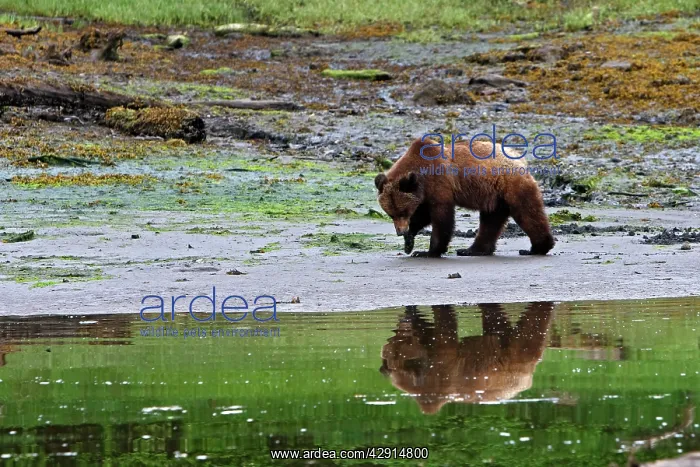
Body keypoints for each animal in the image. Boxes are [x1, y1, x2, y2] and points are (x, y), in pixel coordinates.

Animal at [374, 137, 555, 257]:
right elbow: (423, 216)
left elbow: (441, 218)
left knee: (527, 212)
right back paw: (472, 250)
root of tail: (520, 159)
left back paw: (537, 248)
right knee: (491, 221)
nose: (400, 231)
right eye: (391, 214)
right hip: (494, 196)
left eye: (403, 211)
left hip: (511, 185)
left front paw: (427, 251)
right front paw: (409, 242)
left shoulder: (439, 183)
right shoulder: (423, 194)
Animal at [379, 302, 555, 414]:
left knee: (531, 327)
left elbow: (445, 327)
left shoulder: (442, 365)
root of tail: (527, 381)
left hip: (516, 355)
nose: (403, 319)